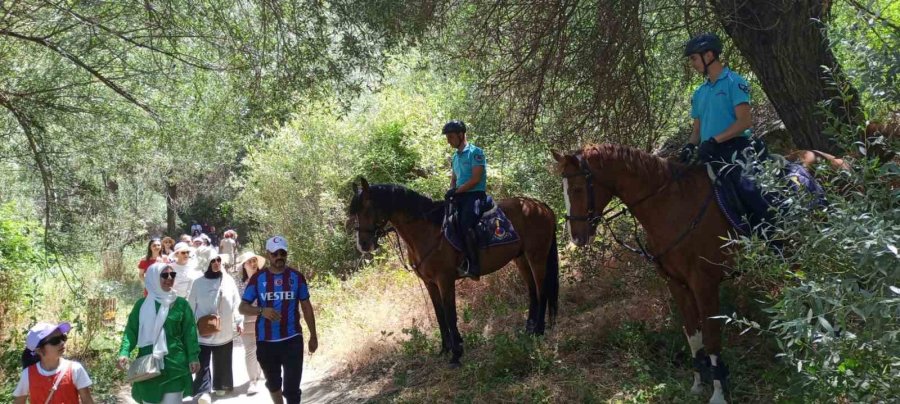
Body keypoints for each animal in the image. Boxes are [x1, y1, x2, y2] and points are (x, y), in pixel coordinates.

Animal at [348, 178, 560, 366]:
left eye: (368, 208)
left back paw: (539, 329)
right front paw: (445, 349)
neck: (427, 232)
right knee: (532, 291)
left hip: (537, 256)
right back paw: (529, 329)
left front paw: (456, 354)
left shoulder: (445, 280)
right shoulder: (430, 283)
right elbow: (439, 314)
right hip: (521, 258)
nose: (363, 244)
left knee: (541, 291)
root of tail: (540, 206)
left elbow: (450, 314)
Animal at [552, 145, 736, 404]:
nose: (576, 237)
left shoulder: (704, 283)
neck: (673, 208)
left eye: (577, 189)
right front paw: (698, 385)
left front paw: (718, 394)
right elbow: (693, 333)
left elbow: (711, 337)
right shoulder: (676, 284)